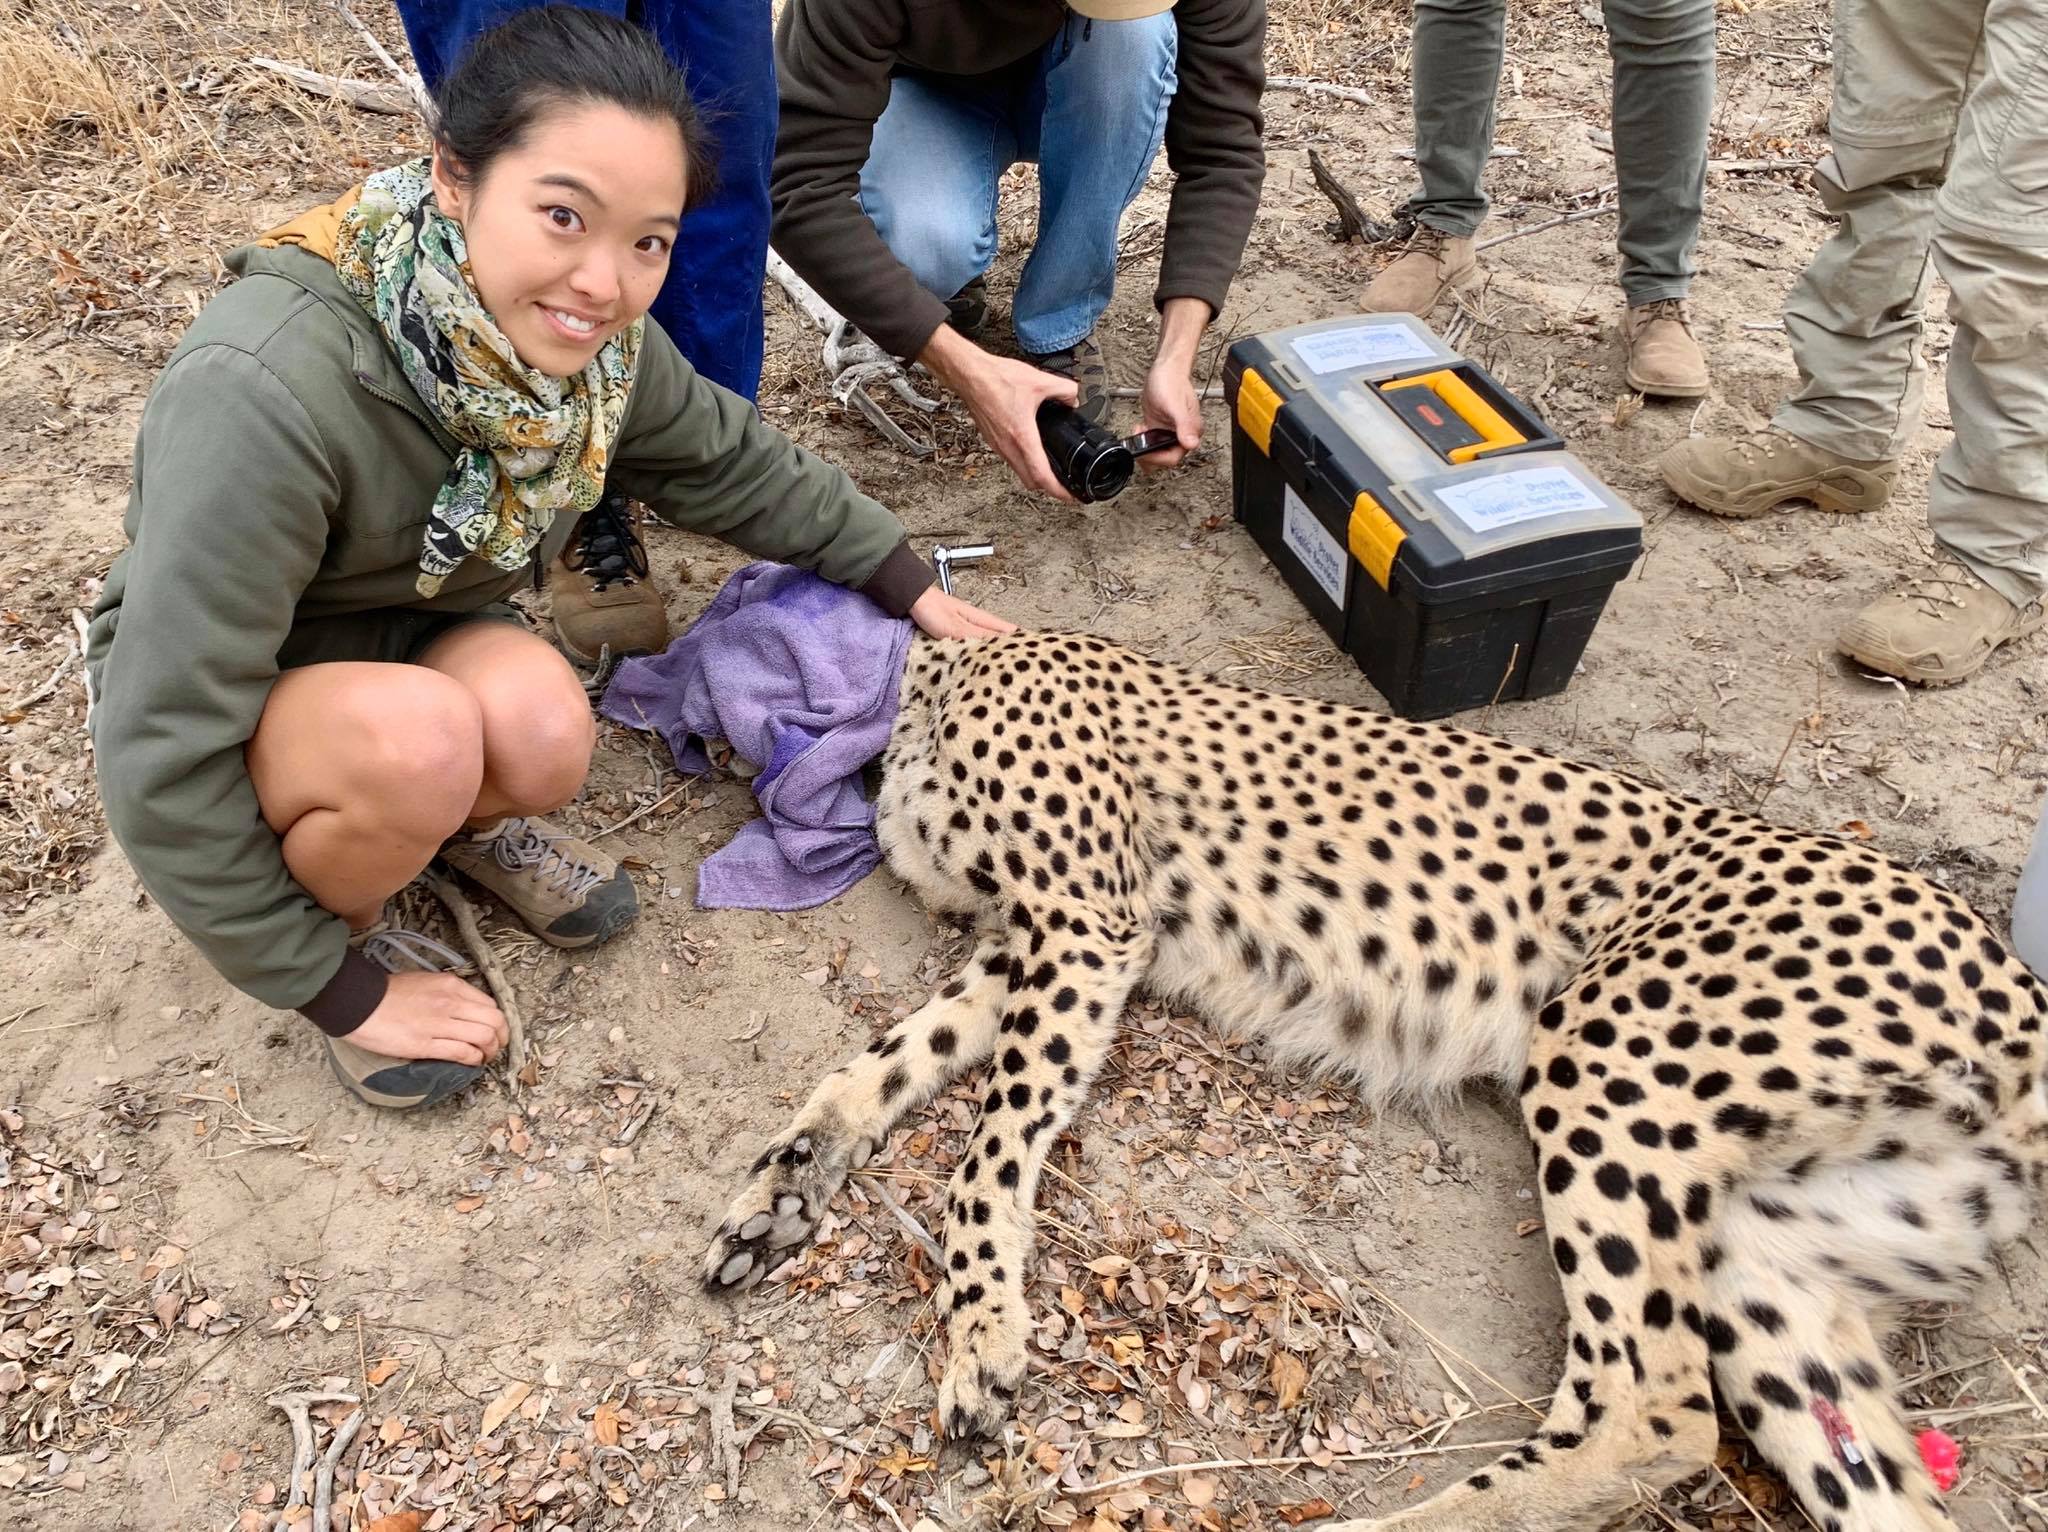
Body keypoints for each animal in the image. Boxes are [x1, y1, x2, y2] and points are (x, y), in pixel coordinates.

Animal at [704, 630, 2048, 1532]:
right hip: (1770, 1252)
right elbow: (885, 1061)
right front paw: (785, 1187)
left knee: (1647, 1407)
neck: (920, 681)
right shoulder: (1030, 943)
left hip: (1607, 1064)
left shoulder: (1089, 926)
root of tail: (2010, 966)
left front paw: (979, 1323)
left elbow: (989, 1147)